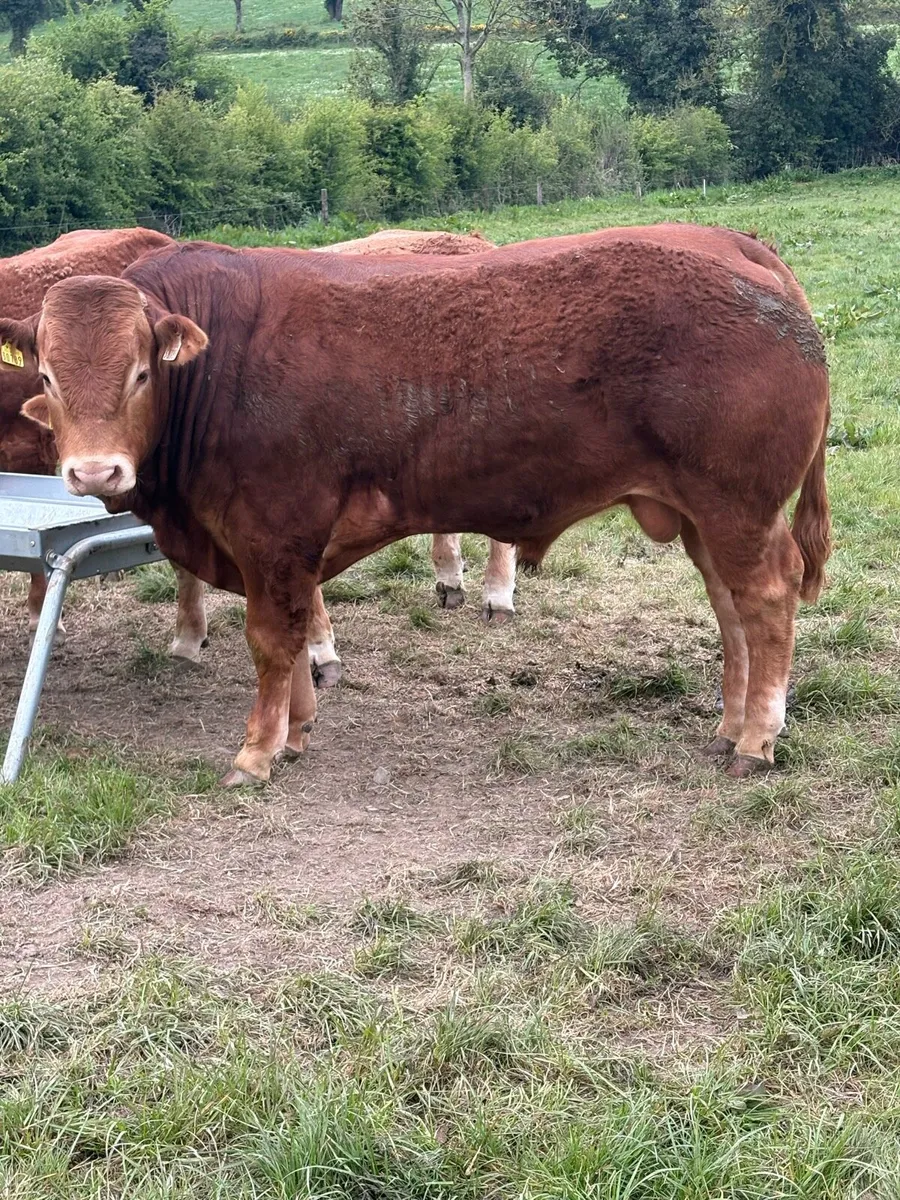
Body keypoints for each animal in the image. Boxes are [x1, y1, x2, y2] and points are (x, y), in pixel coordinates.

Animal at [0, 225, 831, 788]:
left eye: (140, 371)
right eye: (47, 371)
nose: (93, 469)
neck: (221, 365)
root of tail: (740, 249)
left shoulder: (275, 532)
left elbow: (273, 638)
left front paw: (258, 749)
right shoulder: (271, 546)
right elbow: (292, 636)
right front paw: (296, 729)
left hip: (739, 506)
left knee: (767, 597)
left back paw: (758, 738)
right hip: (704, 515)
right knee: (729, 608)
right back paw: (729, 723)